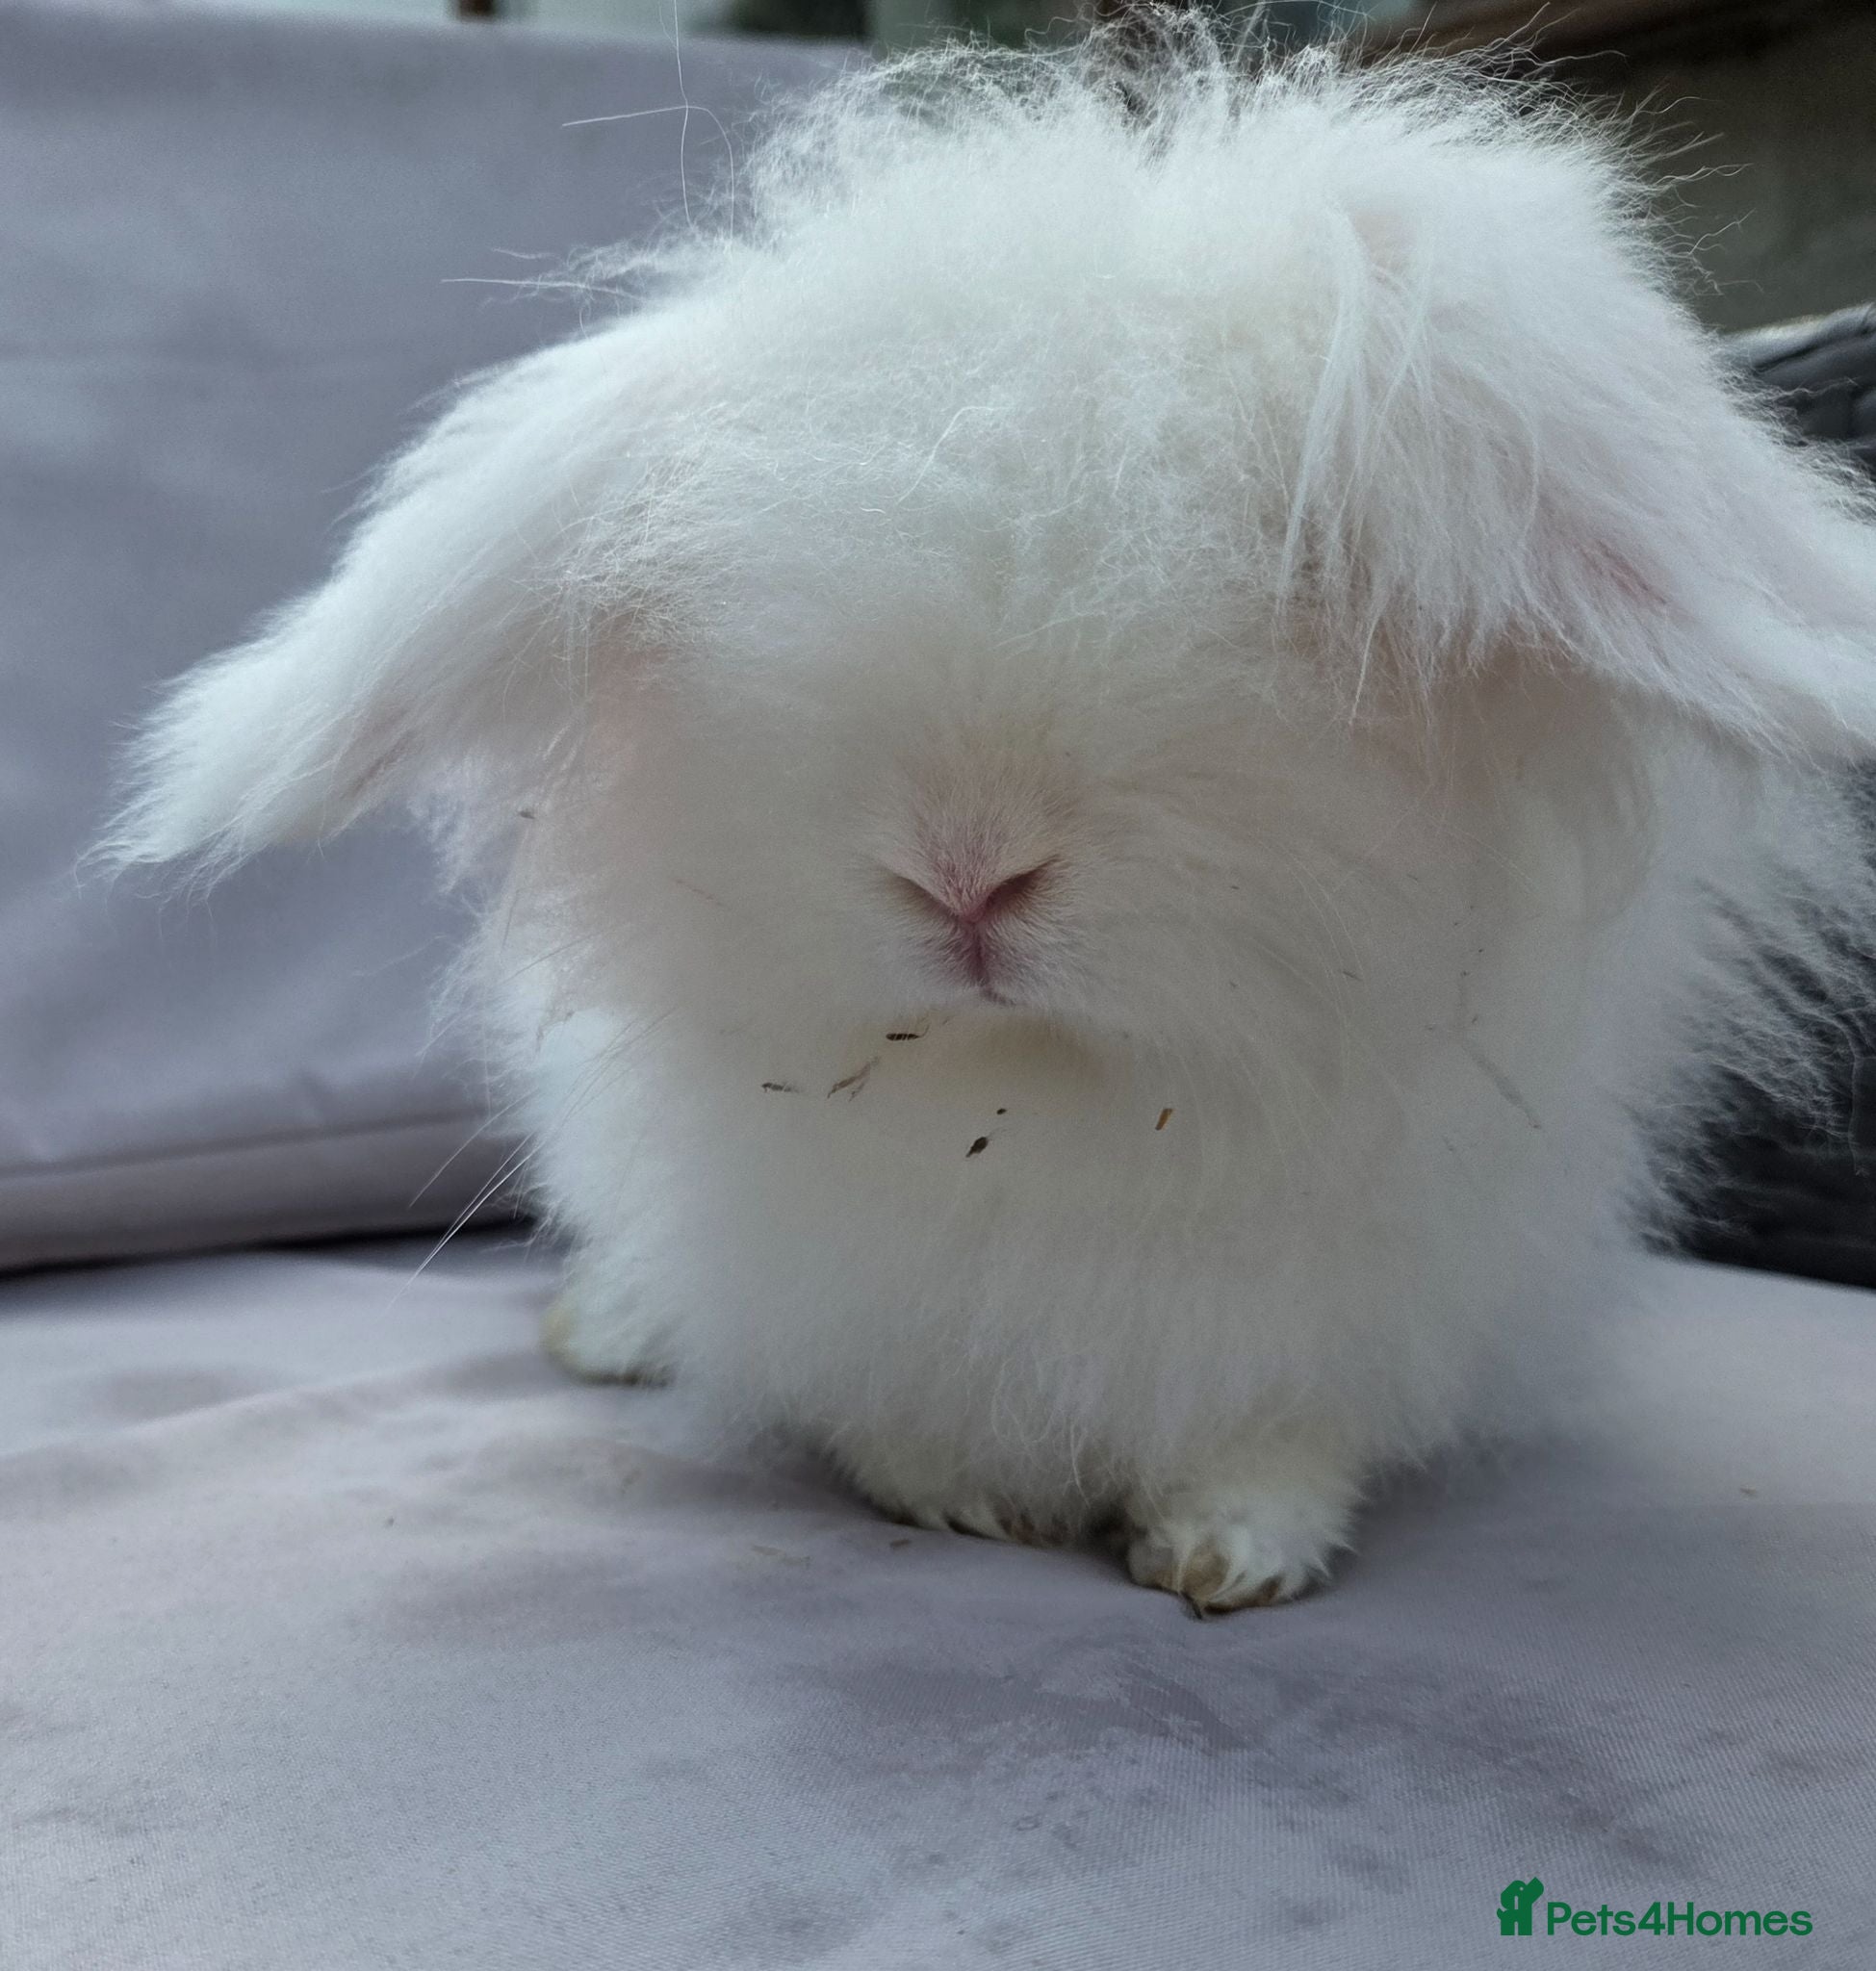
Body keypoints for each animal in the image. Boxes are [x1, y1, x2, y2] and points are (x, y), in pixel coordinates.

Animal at [108, 31, 1876, 1612]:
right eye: (733, 585)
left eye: (1305, 584)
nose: (962, 872)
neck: (1051, 1104)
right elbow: (892, 1416)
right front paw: (967, 1498)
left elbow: (1273, 1440)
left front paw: (1230, 1555)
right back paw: (606, 1333)